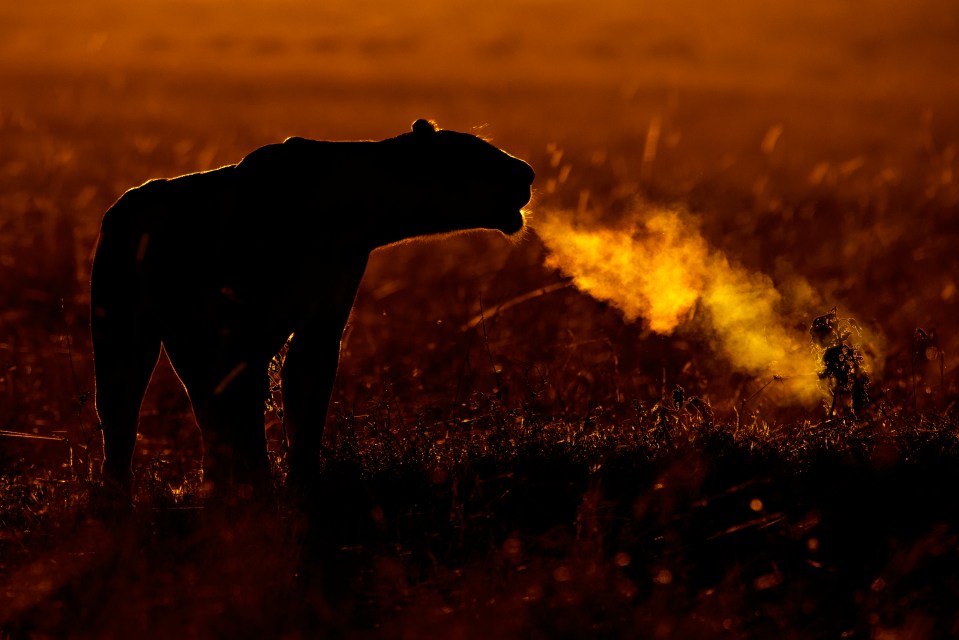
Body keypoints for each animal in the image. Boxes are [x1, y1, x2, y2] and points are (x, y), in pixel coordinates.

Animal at [91, 121, 536, 500]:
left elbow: (305, 402)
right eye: (476, 152)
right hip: (124, 335)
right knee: (121, 418)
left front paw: (299, 488)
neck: (353, 214)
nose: (528, 173)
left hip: (187, 343)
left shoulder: (322, 321)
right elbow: (248, 415)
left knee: (205, 412)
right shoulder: (243, 333)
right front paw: (258, 493)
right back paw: (118, 502)